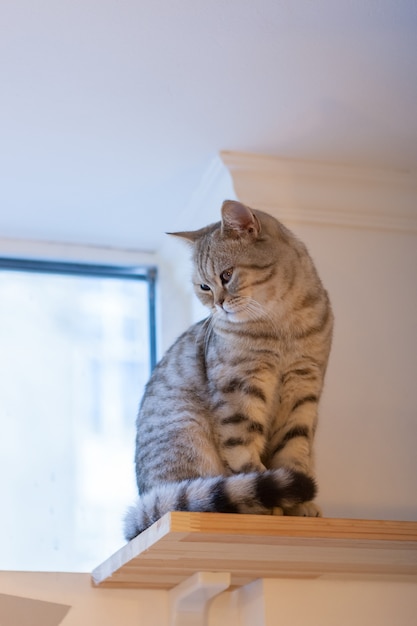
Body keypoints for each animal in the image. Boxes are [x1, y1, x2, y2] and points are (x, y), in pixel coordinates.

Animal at [123, 201, 332, 540]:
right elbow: (243, 450)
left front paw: (299, 505)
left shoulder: (304, 390)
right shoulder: (238, 389)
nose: (219, 305)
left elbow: (293, 450)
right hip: (187, 435)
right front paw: (272, 498)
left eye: (227, 275)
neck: (282, 325)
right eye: (204, 287)